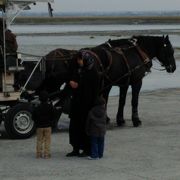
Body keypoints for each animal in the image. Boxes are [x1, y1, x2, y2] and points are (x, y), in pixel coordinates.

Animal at [20, 35, 176, 127]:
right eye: (170, 50)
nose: (173, 68)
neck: (135, 52)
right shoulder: (136, 82)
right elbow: (133, 101)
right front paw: (136, 120)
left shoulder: (122, 83)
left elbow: (121, 101)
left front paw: (119, 119)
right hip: (56, 84)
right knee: (51, 100)